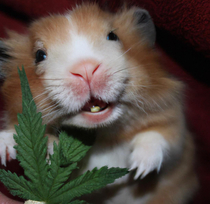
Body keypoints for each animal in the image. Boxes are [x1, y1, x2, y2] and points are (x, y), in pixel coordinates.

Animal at [0, 3, 198, 204]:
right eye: (40, 55)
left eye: (113, 36)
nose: (86, 69)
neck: (103, 135)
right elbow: (18, 132)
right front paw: (6, 150)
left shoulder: (175, 127)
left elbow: (159, 136)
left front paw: (139, 169)